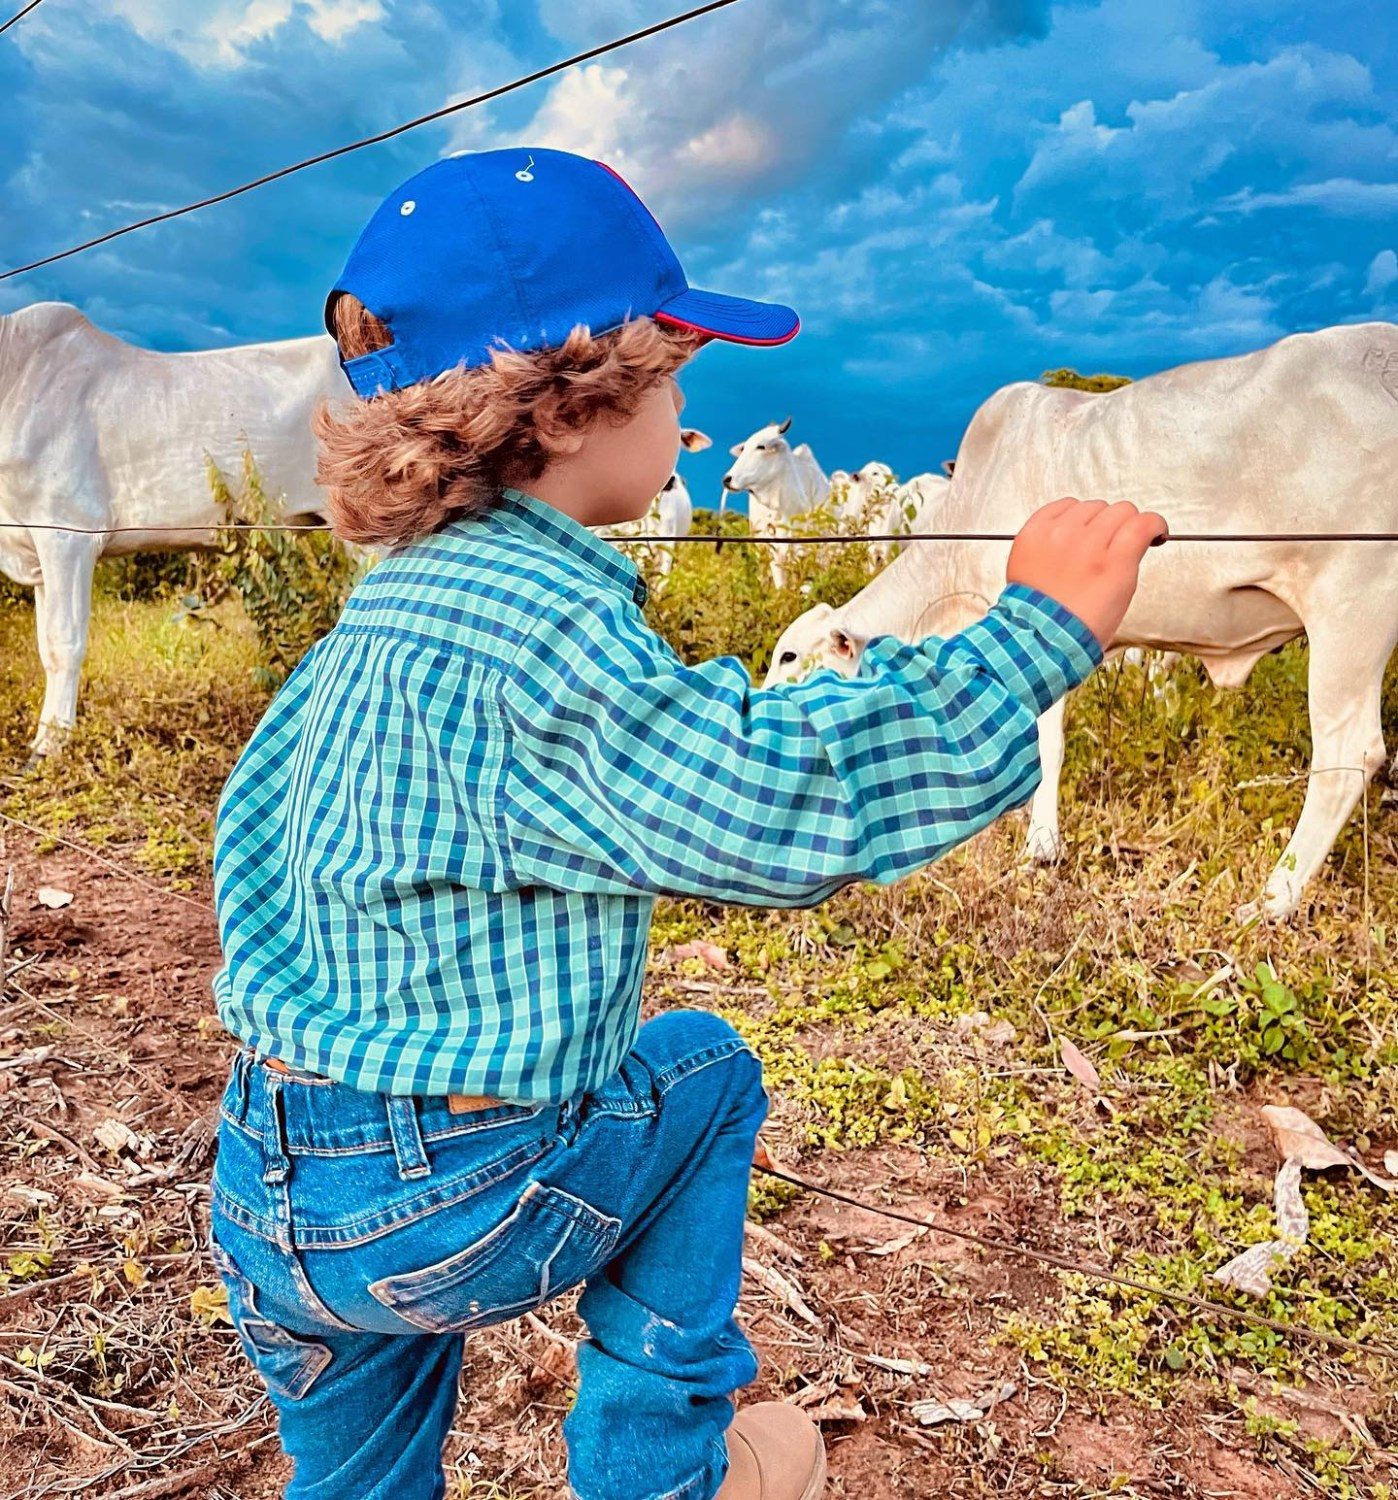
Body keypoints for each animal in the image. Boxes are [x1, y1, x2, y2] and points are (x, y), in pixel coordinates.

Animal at [765, 322, 1398, 918]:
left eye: (789, 655)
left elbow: (1044, 742)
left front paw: (1038, 849)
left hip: (1351, 603)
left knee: (1347, 755)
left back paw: (1270, 902)